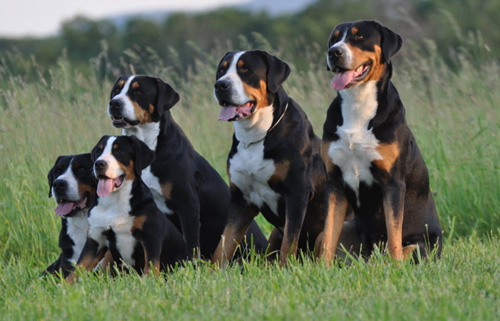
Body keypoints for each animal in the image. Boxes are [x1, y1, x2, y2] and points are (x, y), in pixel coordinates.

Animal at [65, 135, 188, 282]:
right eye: (99, 151)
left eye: (119, 151)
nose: (99, 164)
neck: (114, 203)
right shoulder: (95, 240)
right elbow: (79, 267)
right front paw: (63, 285)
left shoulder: (151, 236)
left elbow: (151, 265)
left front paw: (150, 282)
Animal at [107, 74, 268, 258]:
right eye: (117, 90)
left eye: (138, 91)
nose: (114, 103)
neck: (149, 146)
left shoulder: (188, 206)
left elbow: (191, 246)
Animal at [209, 50, 326, 264]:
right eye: (221, 70)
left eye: (246, 70)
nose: (221, 85)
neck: (256, 135)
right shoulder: (241, 200)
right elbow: (222, 246)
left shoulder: (297, 193)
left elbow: (289, 243)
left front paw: (287, 269)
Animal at [318, 20, 444, 262]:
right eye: (334, 39)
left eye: (359, 37)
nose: (334, 52)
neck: (357, 105)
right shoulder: (335, 182)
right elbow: (328, 236)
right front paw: (322, 268)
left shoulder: (392, 183)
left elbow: (394, 235)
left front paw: (395, 267)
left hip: (421, 246)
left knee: (403, 249)